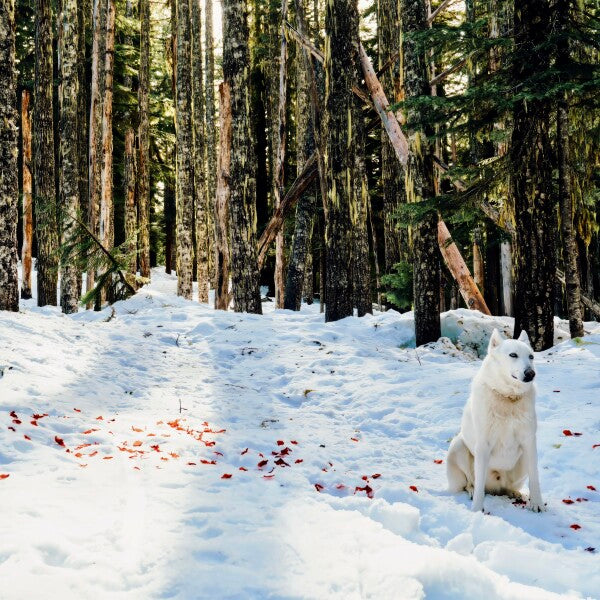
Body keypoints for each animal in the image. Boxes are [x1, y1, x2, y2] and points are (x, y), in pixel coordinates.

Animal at [448, 328, 548, 510]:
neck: (508, 397)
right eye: (513, 355)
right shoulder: (483, 445)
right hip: (458, 446)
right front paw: (477, 510)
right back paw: (472, 491)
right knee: (471, 482)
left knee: (508, 487)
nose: (531, 373)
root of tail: (495, 488)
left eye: (531, 356)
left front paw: (537, 504)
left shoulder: (529, 442)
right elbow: (479, 484)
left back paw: (514, 492)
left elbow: (535, 478)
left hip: (522, 460)